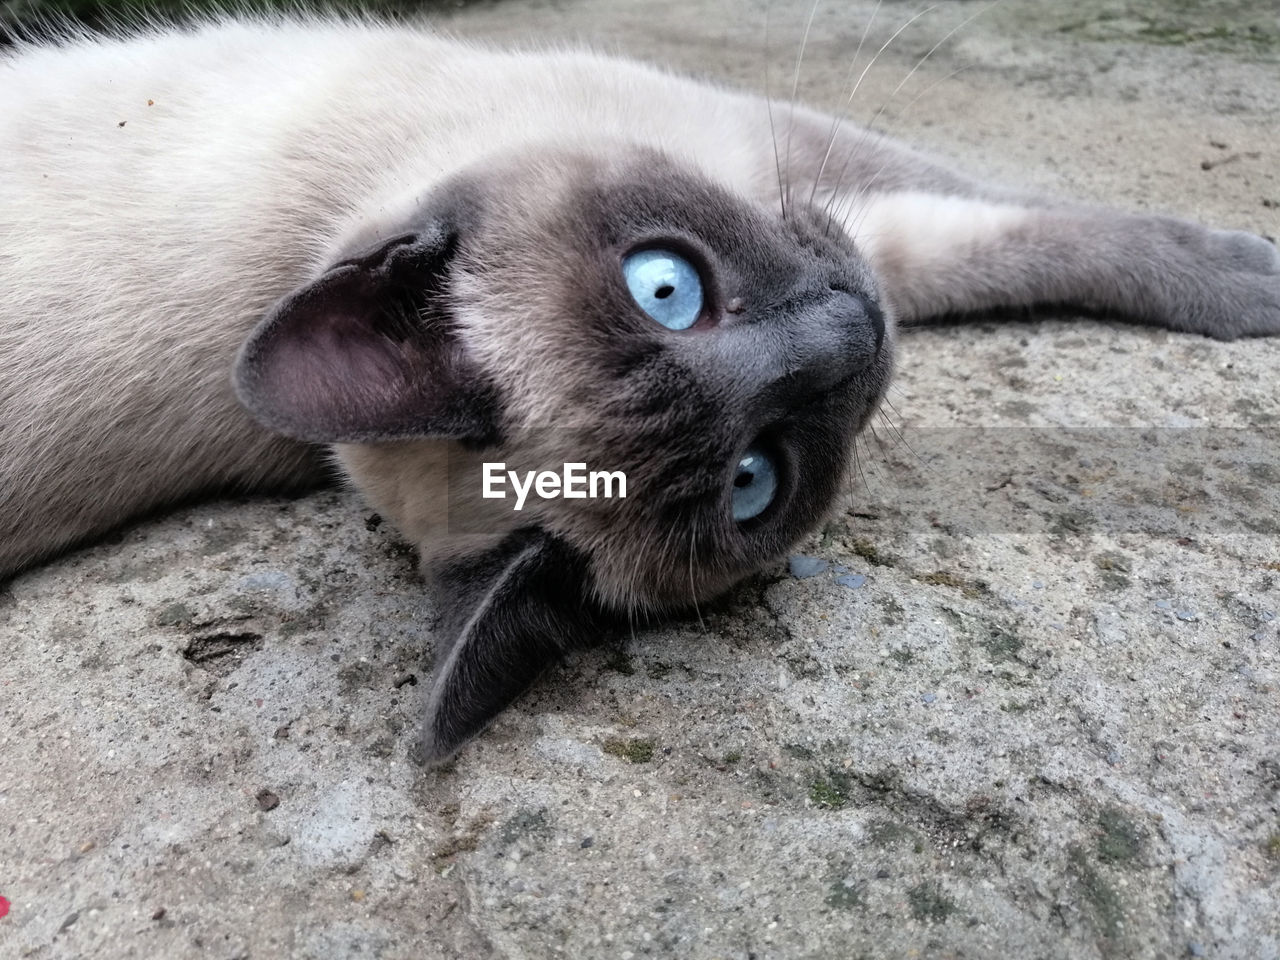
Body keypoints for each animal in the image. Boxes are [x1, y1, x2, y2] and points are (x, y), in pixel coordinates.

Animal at [0, 16, 1274, 768]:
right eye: (755, 481)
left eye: (662, 287)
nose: (850, 332)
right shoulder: (840, 214)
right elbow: (1017, 235)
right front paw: (1253, 280)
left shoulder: (799, 171)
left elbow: (1028, 224)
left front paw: (1245, 279)